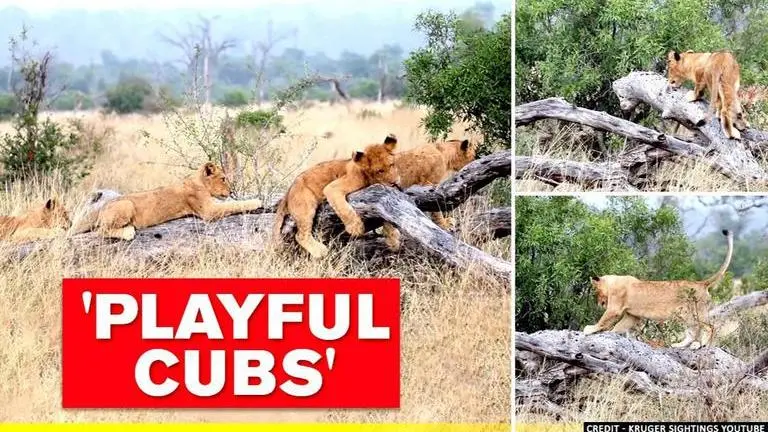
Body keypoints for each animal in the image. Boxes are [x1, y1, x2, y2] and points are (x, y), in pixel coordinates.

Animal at [73, 162, 263, 240]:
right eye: (223, 179)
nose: (231, 191)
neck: (198, 181)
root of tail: (102, 207)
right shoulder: (209, 211)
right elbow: (234, 204)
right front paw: (257, 201)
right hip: (126, 204)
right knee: (101, 231)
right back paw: (128, 232)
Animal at [583, 229, 733, 349]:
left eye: (595, 292)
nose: (599, 304)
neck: (613, 281)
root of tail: (701, 283)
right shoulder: (632, 316)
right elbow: (619, 327)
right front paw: (610, 334)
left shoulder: (614, 308)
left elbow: (603, 320)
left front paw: (589, 329)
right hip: (685, 315)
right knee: (692, 332)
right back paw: (678, 345)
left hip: (695, 313)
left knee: (710, 327)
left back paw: (701, 346)